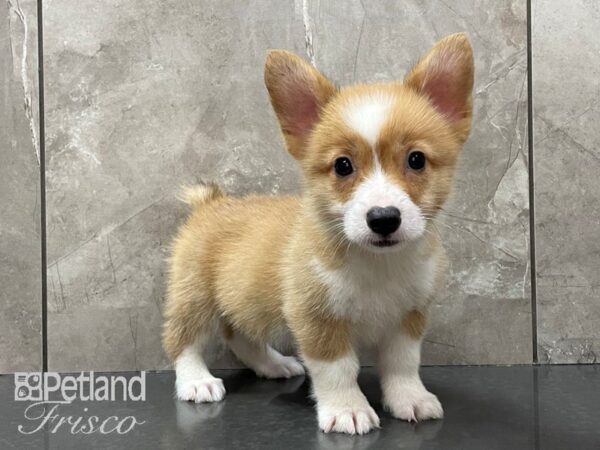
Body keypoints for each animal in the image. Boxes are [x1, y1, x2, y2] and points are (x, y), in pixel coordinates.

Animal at [163, 33, 474, 434]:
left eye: (416, 159)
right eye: (342, 166)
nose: (383, 218)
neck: (376, 264)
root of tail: (210, 203)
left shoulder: (408, 318)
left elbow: (403, 366)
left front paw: (411, 399)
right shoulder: (317, 319)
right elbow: (338, 370)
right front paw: (347, 410)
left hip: (244, 300)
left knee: (240, 336)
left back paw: (274, 364)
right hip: (195, 297)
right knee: (182, 339)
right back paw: (196, 381)